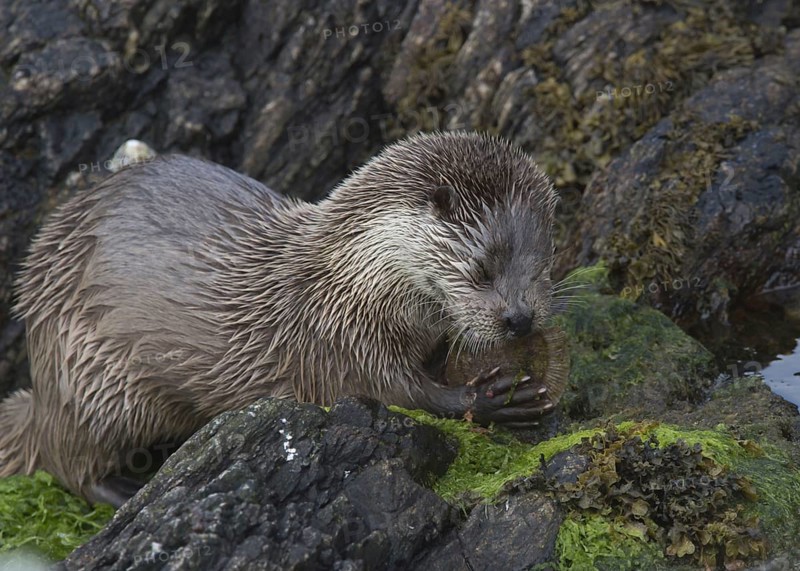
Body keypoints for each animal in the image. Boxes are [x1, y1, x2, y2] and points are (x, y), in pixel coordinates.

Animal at [0, 132, 559, 506]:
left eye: (542, 264)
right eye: (481, 269)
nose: (519, 319)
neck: (350, 283)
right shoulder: (336, 341)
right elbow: (398, 392)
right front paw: (493, 399)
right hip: (93, 376)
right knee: (66, 458)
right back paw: (127, 490)